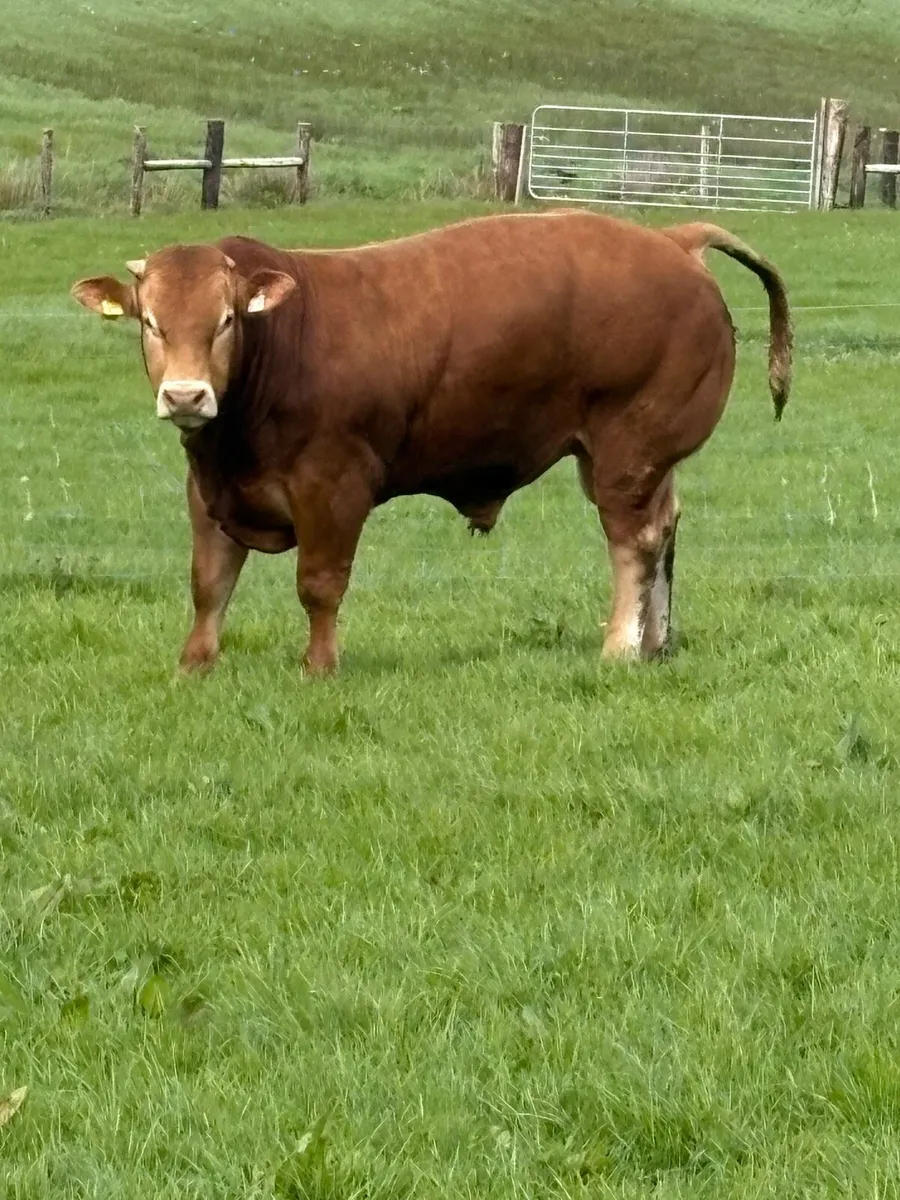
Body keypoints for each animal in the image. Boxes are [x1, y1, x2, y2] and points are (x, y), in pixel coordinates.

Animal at [71, 209, 791, 676]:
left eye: (224, 321)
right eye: (150, 322)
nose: (185, 396)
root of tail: (671, 240)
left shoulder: (333, 485)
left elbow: (319, 584)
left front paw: (319, 666)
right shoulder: (210, 490)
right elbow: (208, 583)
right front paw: (194, 665)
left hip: (627, 452)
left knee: (634, 544)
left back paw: (619, 647)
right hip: (644, 459)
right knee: (665, 529)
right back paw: (655, 644)